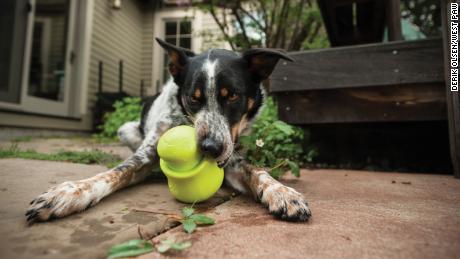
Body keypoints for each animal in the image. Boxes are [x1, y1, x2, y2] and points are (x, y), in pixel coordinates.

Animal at [26, 38, 312, 223]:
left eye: (232, 96)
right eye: (193, 98)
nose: (209, 148)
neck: (184, 121)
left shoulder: (230, 158)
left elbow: (256, 170)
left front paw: (281, 192)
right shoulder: (144, 154)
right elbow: (114, 173)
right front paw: (69, 193)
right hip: (126, 130)